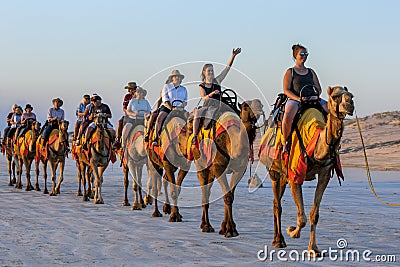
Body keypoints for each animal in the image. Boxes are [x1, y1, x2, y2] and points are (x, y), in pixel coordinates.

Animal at [193, 96, 258, 239]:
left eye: (260, 103)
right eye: (245, 106)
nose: (259, 107)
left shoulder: (240, 169)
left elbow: (230, 196)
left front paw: (227, 228)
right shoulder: (219, 167)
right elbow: (227, 196)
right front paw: (229, 230)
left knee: (208, 191)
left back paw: (204, 224)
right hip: (200, 163)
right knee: (204, 192)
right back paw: (206, 226)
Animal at [260, 87, 354, 256]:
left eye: (351, 96)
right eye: (335, 96)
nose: (350, 105)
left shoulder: (324, 174)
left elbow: (314, 214)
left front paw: (314, 249)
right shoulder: (294, 174)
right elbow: (301, 218)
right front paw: (292, 231)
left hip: (282, 176)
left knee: (277, 201)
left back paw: (279, 239)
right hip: (273, 171)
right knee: (277, 204)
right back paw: (278, 240)